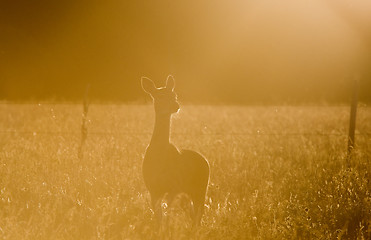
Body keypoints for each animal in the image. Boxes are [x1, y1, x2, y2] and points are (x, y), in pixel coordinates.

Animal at [141, 75, 209, 227]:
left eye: (174, 95)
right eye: (160, 96)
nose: (176, 105)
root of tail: (205, 160)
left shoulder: (174, 186)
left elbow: (167, 214)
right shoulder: (152, 188)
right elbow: (159, 217)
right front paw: (159, 229)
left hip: (201, 188)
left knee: (199, 214)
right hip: (190, 192)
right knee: (193, 214)